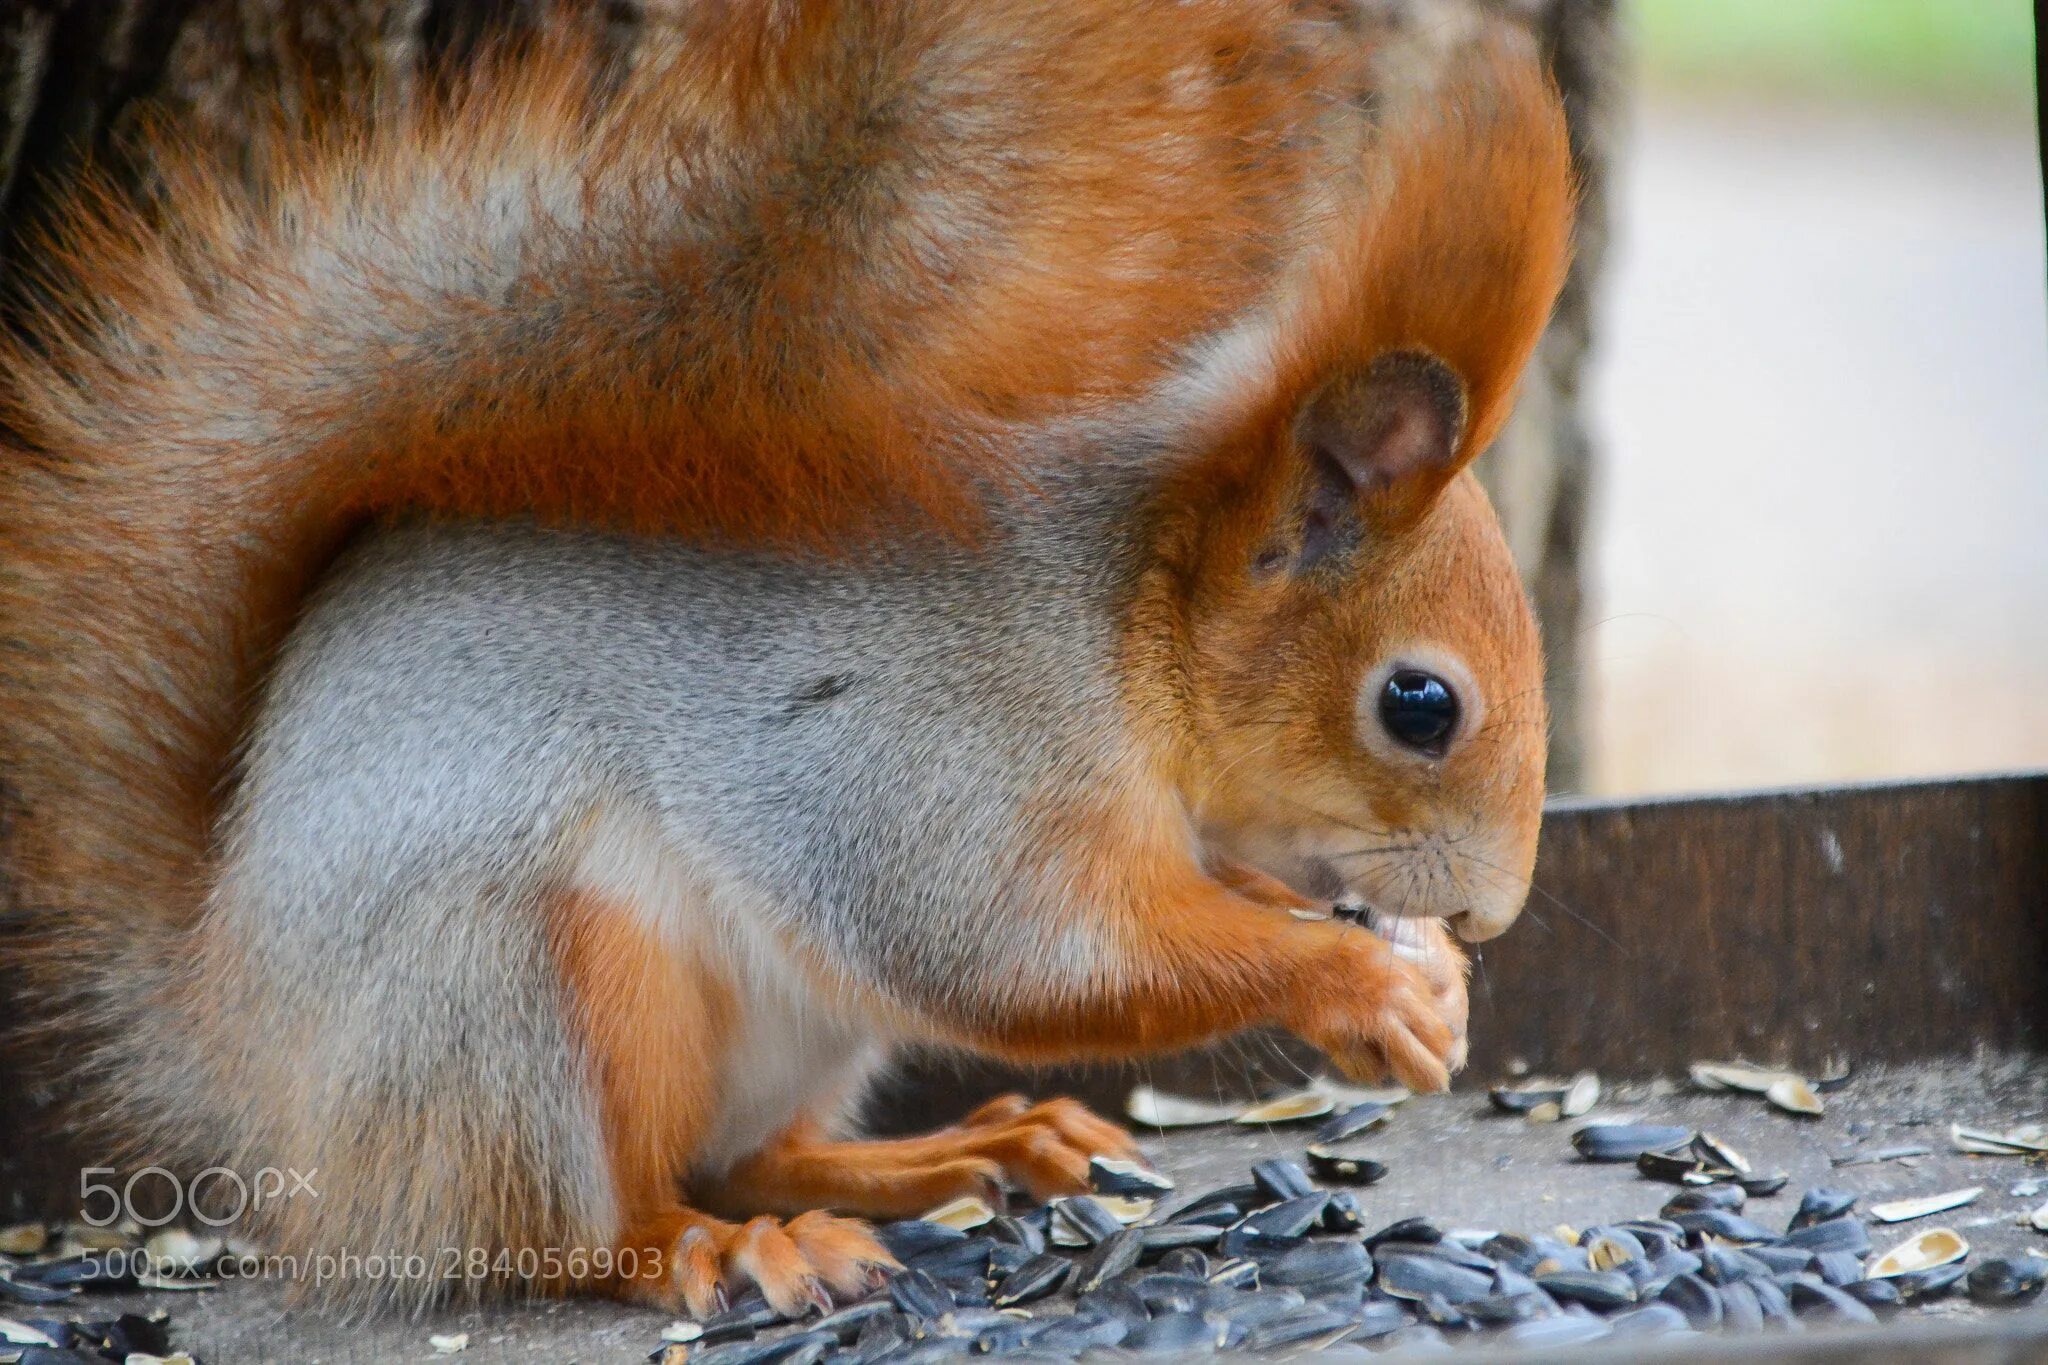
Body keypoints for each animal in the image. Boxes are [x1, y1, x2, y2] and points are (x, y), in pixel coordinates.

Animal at [0, 0, 1572, 1326]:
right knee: (569, 1226)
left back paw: (945, 1154)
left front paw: (1425, 989)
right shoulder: (935, 755)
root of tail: (245, 1055)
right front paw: (1358, 986)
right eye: (1418, 705)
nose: (1494, 914)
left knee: (749, 1150)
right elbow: (1028, 956)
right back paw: (713, 1249)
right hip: (523, 985)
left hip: (796, 1032)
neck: (1120, 631)